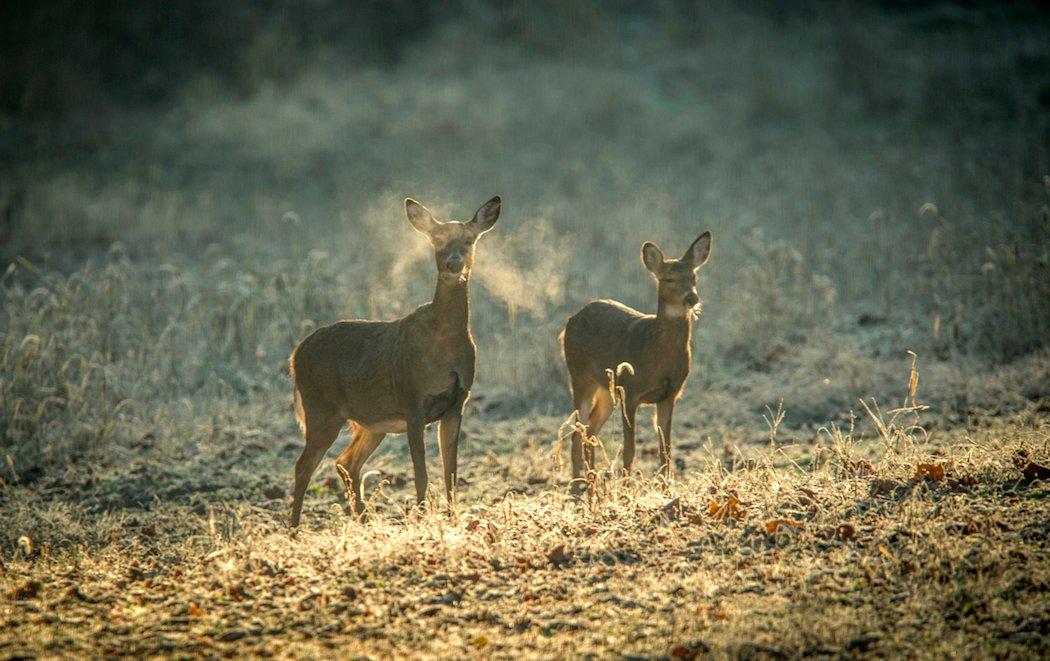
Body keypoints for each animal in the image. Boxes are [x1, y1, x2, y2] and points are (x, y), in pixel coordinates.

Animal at [285, 194, 501, 526]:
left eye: (469, 239)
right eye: (438, 239)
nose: (453, 264)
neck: (445, 346)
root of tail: (296, 355)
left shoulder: (457, 403)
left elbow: (451, 473)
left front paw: (452, 519)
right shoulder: (413, 401)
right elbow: (421, 473)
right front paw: (423, 516)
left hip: (371, 422)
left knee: (346, 462)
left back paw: (363, 518)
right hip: (321, 407)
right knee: (304, 465)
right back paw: (296, 528)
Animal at [558, 231, 713, 493]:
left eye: (694, 277)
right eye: (669, 278)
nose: (692, 297)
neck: (657, 354)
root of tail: (570, 320)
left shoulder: (670, 394)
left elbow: (665, 448)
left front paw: (665, 488)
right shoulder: (630, 392)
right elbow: (629, 448)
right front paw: (625, 489)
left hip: (607, 390)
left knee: (590, 429)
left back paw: (591, 482)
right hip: (579, 376)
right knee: (577, 431)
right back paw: (578, 486)